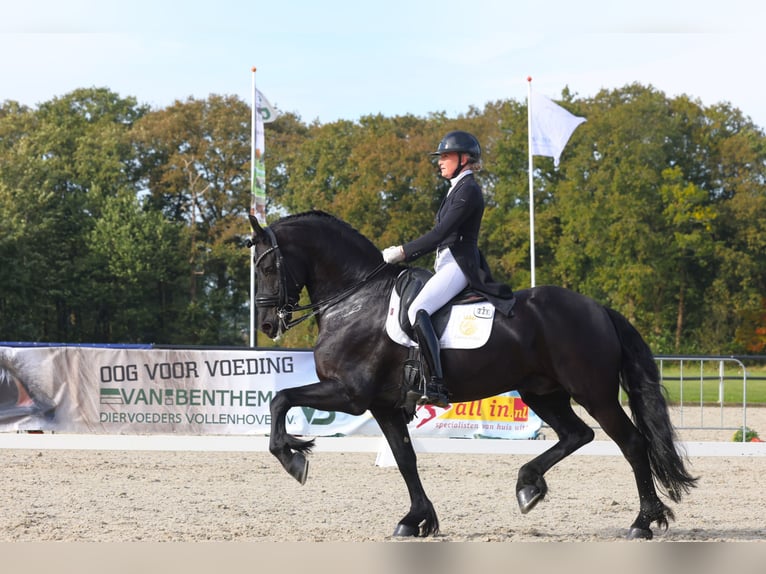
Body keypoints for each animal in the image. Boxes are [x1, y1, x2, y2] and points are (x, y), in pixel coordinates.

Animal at [249, 210, 700, 540]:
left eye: (268, 266)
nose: (268, 324)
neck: (355, 298)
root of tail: (598, 309)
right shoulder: (382, 405)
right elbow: (405, 458)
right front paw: (417, 520)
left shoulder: (350, 393)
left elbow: (281, 399)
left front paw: (293, 457)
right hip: (542, 392)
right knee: (577, 434)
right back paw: (528, 485)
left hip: (594, 393)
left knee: (632, 443)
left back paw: (643, 522)